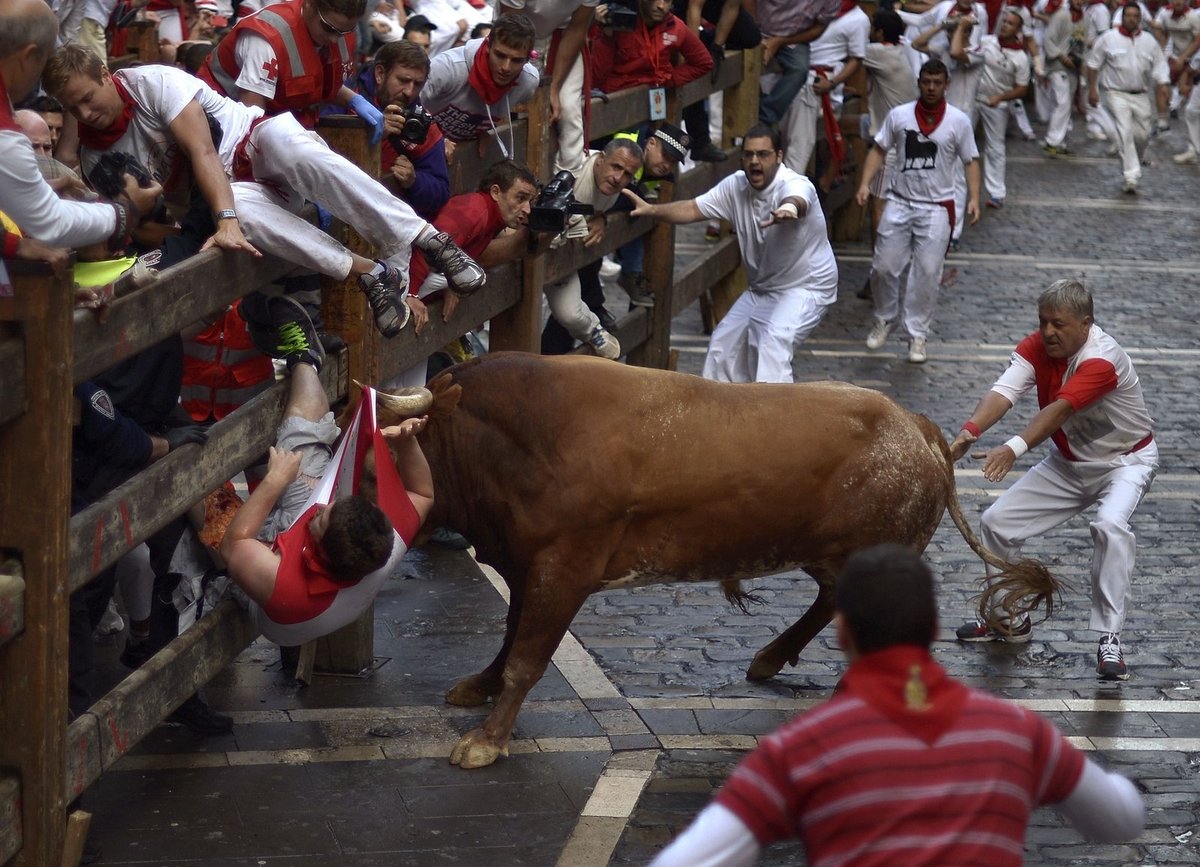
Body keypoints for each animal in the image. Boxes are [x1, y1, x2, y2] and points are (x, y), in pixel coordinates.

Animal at [388, 350, 1056, 763]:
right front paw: (480, 686)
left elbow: (529, 655)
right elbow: (509, 636)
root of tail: (913, 425)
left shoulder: (564, 568)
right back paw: (769, 659)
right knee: (827, 601)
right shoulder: (524, 564)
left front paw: (487, 741)